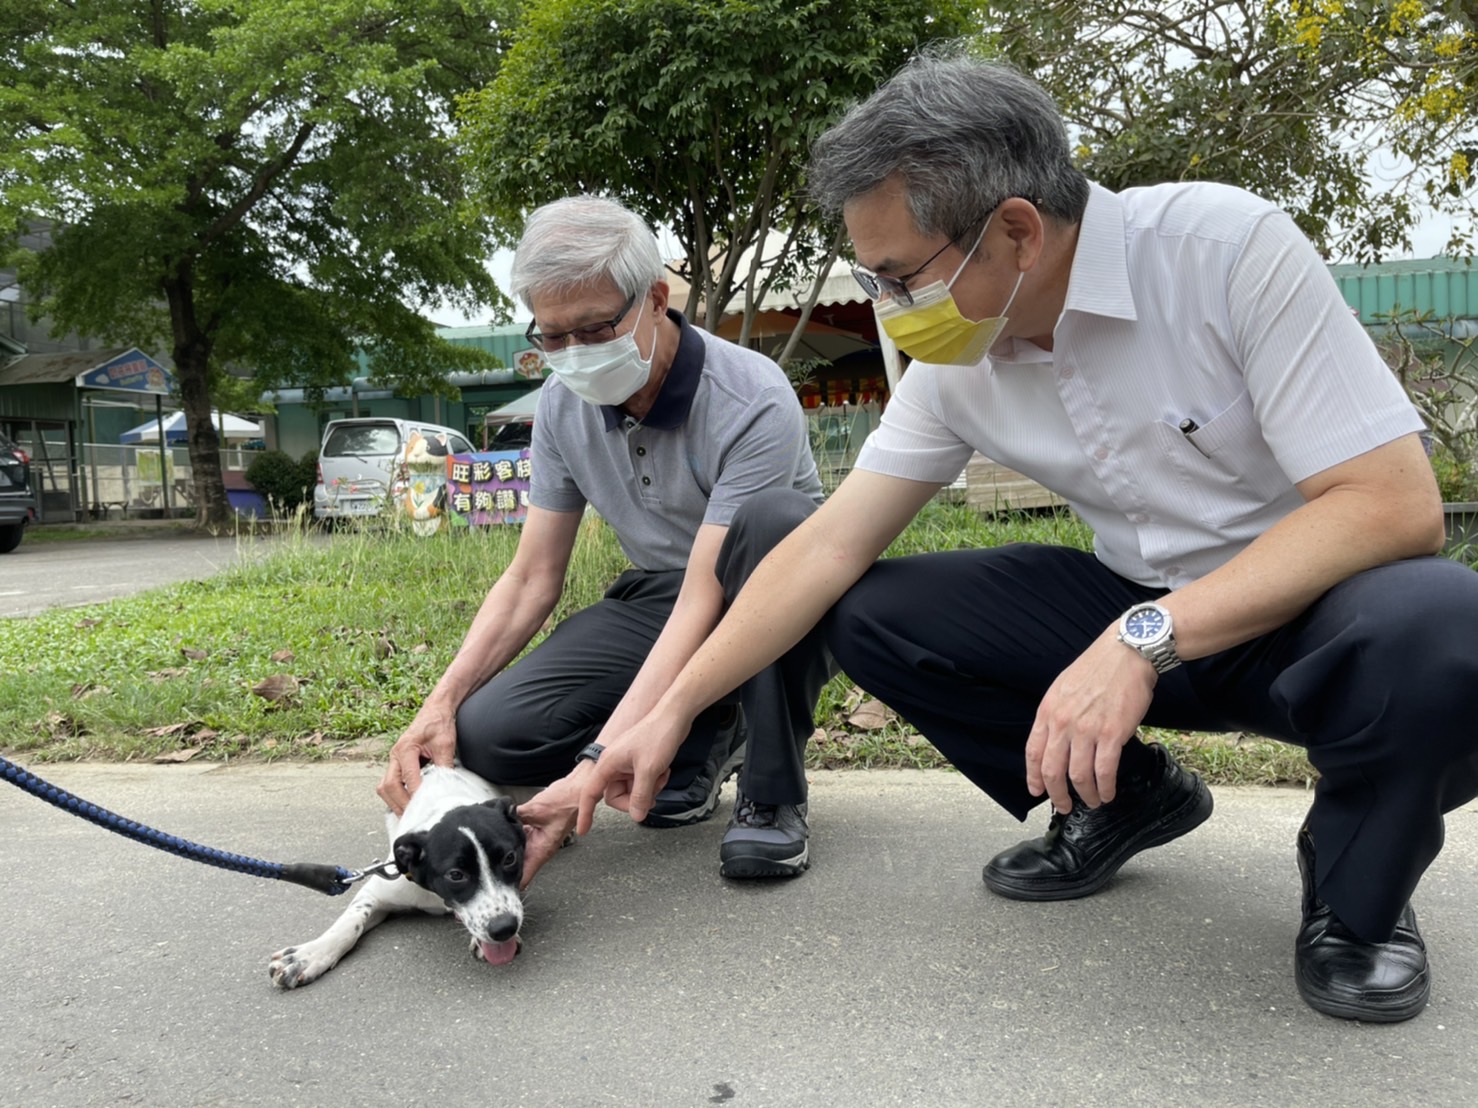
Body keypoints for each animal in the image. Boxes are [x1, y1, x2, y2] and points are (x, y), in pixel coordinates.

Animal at [270, 768, 532, 992]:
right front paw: (308, 956)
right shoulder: (378, 890)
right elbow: (349, 923)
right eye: (455, 875)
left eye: (509, 858)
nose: (504, 928)